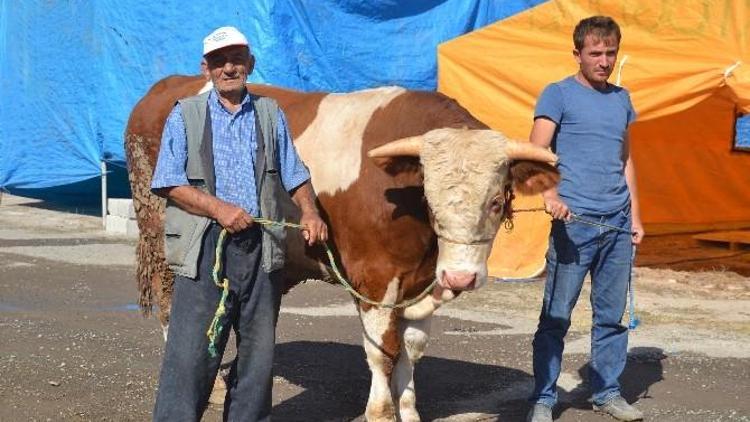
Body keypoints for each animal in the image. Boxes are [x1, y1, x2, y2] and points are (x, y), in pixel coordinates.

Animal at [126, 74, 560, 420]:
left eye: (496, 201)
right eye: (431, 200)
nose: (460, 276)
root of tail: (169, 83)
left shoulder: (422, 281)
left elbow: (411, 348)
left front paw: (409, 411)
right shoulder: (374, 277)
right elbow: (383, 351)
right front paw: (381, 413)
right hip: (164, 239)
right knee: (171, 304)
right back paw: (211, 384)